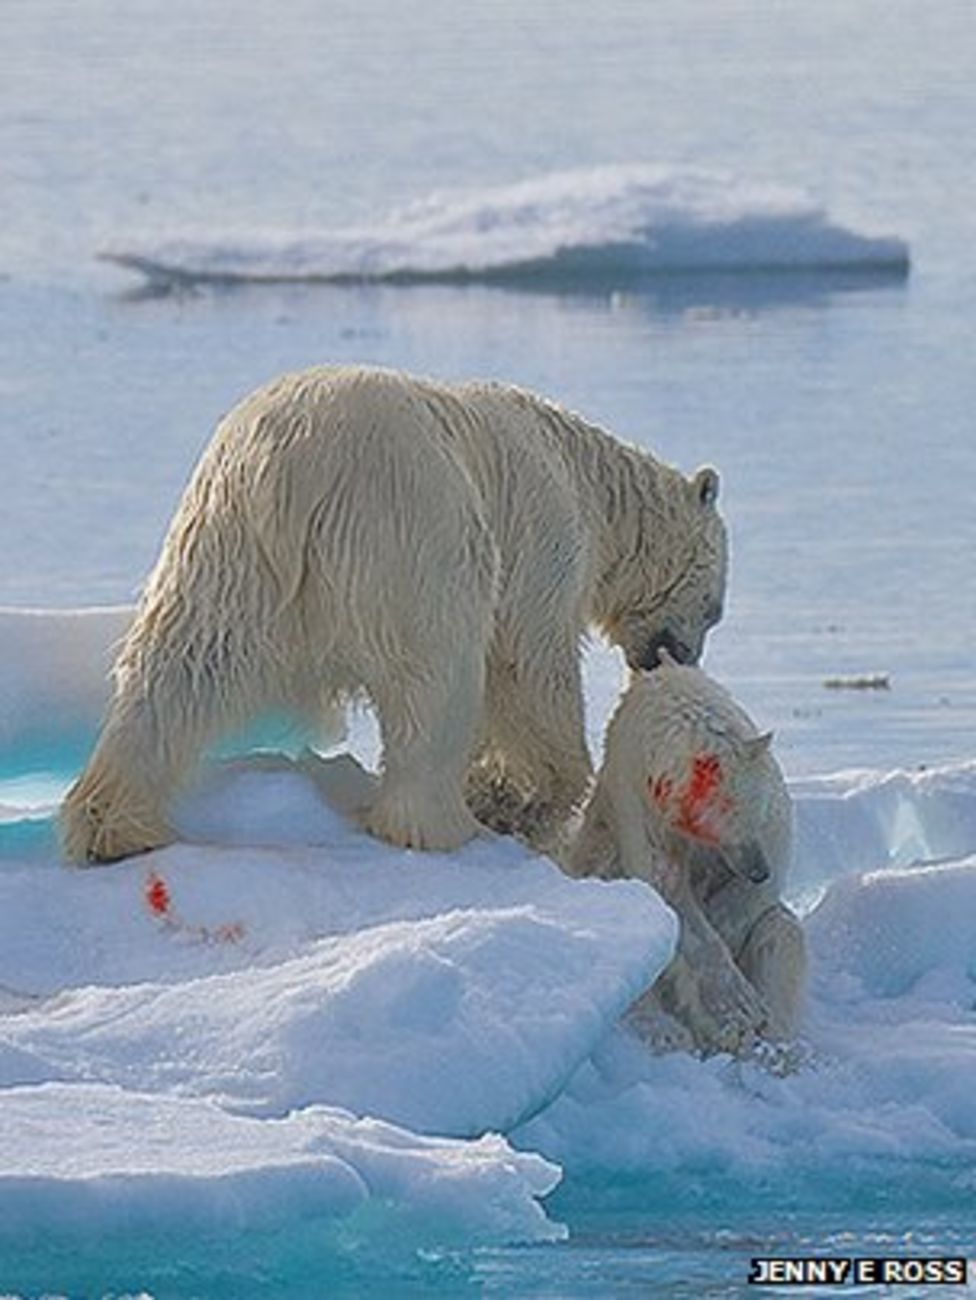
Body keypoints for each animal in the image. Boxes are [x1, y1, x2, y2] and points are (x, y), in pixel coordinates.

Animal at [59, 366, 727, 863]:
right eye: (714, 609)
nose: (674, 656)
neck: (587, 478)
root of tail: (290, 469)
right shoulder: (543, 536)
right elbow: (528, 660)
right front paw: (532, 794)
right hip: (411, 532)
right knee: (436, 679)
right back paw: (440, 824)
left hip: (224, 544)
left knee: (180, 669)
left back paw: (113, 825)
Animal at [569, 655, 805, 1060]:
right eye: (736, 816)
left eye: (758, 813)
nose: (757, 870)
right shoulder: (638, 802)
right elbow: (664, 889)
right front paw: (735, 1012)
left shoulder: (771, 812)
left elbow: (756, 894)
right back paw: (667, 1032)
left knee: (782, 935)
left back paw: (778, 1047)